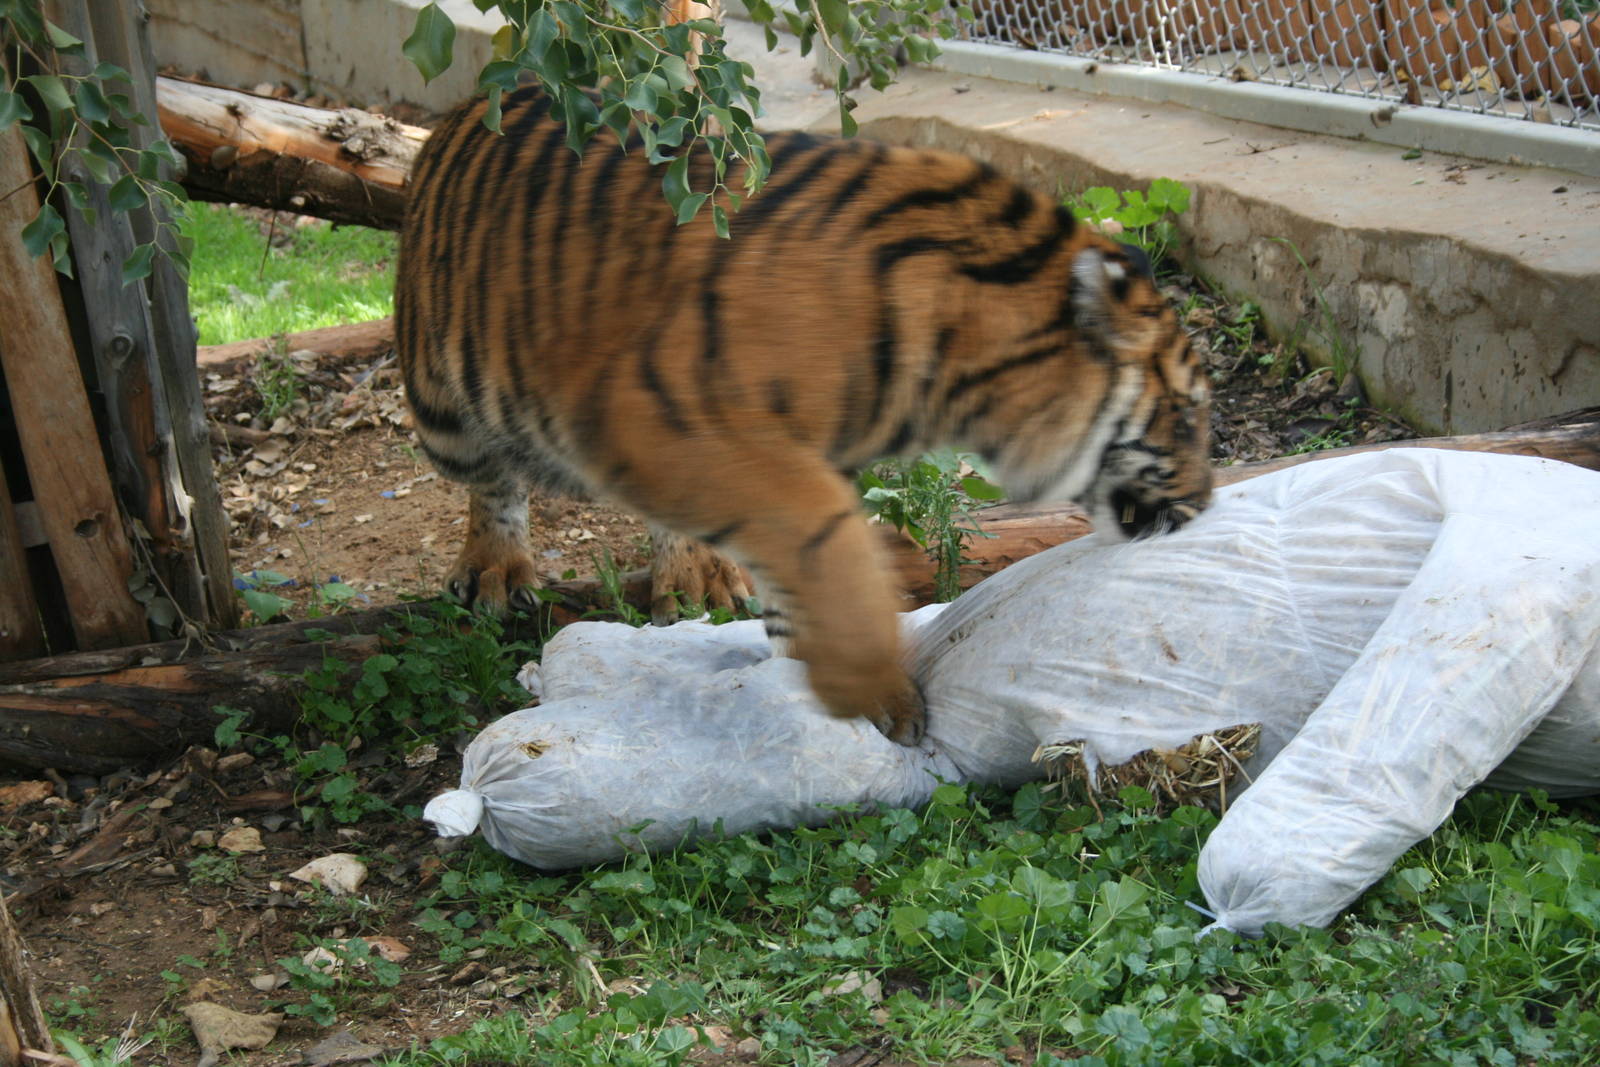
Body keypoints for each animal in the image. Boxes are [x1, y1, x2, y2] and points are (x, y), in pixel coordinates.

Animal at [395, 86, 1212, 747]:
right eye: (1186, 417)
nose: (1206, 505)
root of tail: (469, 105)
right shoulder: (660, 411)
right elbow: (829, 545)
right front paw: (869, 686)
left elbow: (812, 551)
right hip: (446, 407)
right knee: (492, 478)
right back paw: (495, 570)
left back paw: (696, 577)